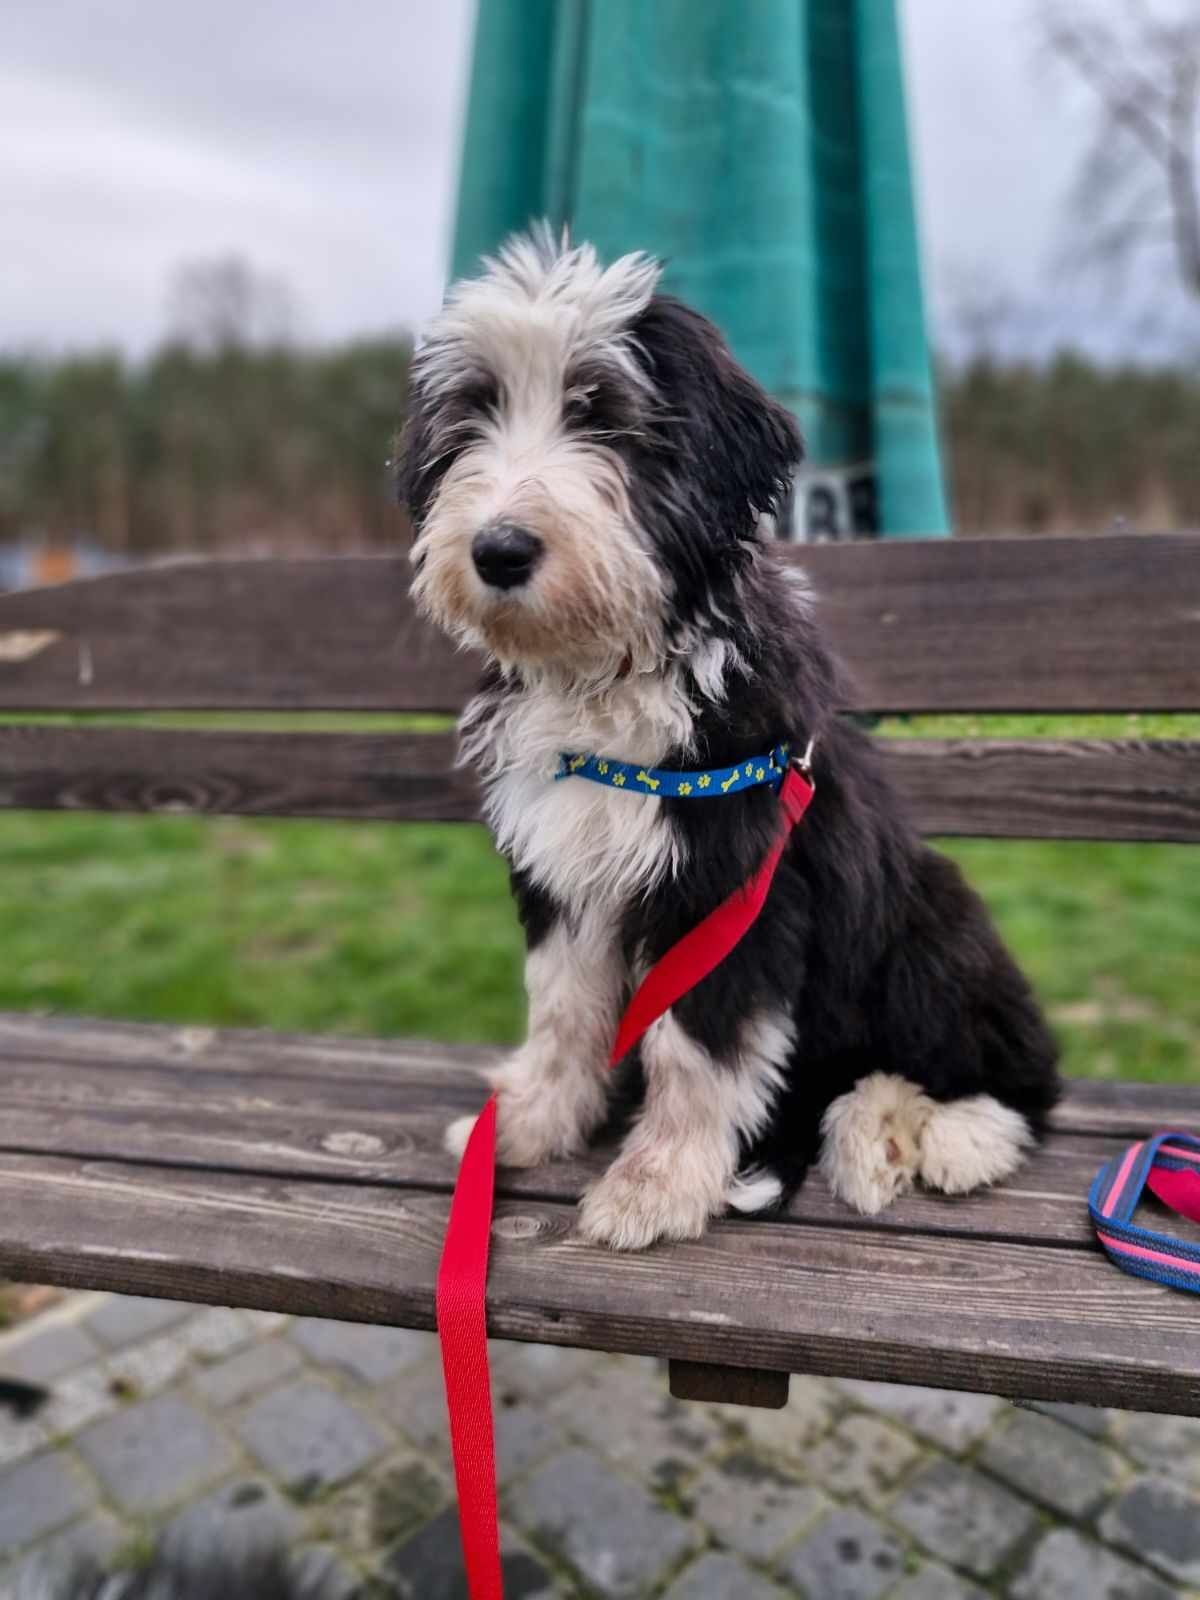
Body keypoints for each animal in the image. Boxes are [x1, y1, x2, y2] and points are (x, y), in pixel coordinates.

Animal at [401, 228, 1062, 1248]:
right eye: (474, 417)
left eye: (604, 418)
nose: (499, 550)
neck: (613, 681)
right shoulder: (565, 868)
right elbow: (563, 1007)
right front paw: (532, 1120)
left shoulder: (728, 888)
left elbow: (696, 1050)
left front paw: (656, 1185)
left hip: (930, 928)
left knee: (1017, 1073)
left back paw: (935, 1135)